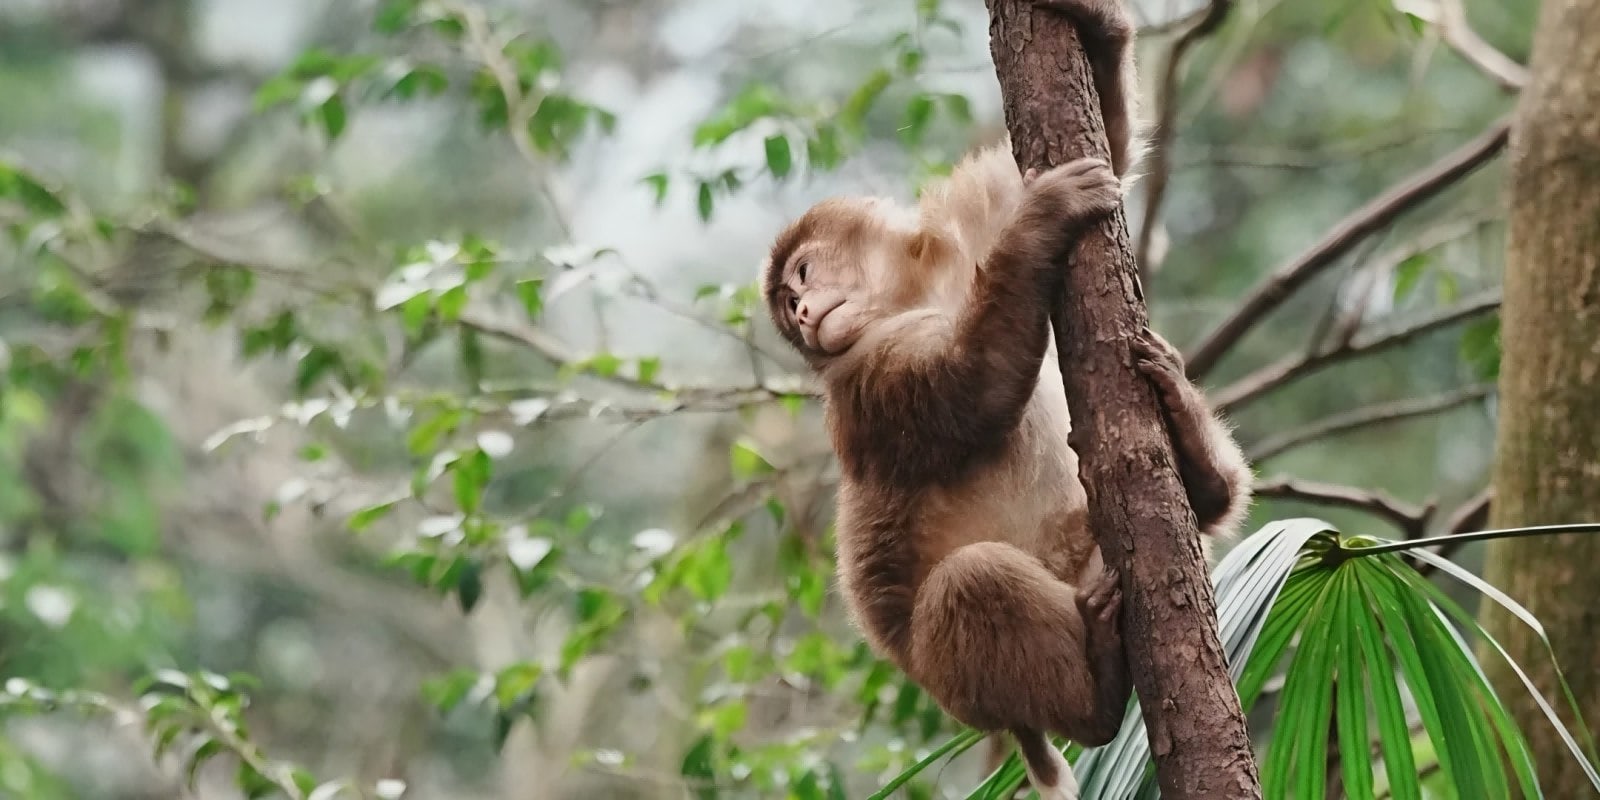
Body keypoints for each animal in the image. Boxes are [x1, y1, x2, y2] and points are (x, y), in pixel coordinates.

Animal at [755, 3, 1254, 796]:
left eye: (800, 277)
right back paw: (1099, 694)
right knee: (973, 580)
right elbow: (972, 395)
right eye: (787, 302)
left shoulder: (968, 228)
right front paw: (1043, 221)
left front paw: (1095, 20)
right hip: (961, 673)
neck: (917, 297)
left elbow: (1111, 143)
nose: (802, 314)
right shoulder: (865, 379)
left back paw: (1197, 463)